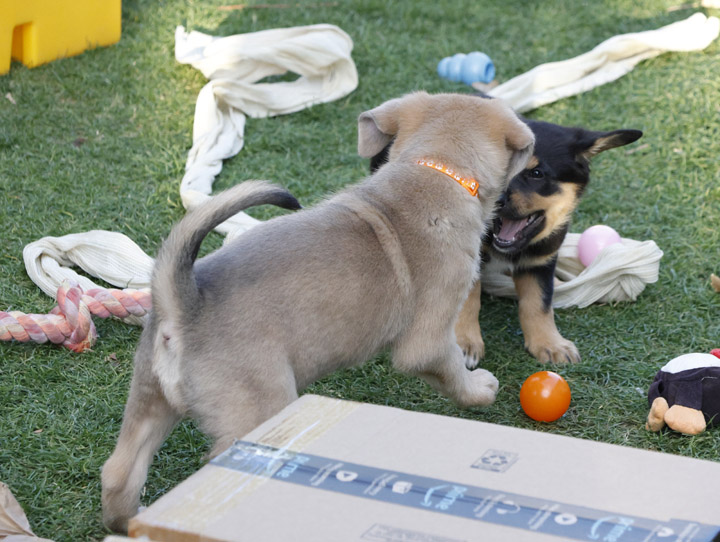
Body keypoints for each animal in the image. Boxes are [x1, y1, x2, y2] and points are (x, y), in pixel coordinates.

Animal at [101, 91, 536, 532]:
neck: (435, 168)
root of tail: (183, 302)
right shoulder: (429, 340)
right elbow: (453, 371)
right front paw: (480, 387)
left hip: (150, 401)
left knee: (119, 472)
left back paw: (129, 521)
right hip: (259, 411)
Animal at [372, 113, 640, 368]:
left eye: (536, 173)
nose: (497, 199)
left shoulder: (541, 259)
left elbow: (539, 303)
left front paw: (550, 344)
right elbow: (469, 301)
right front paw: (465, 343)